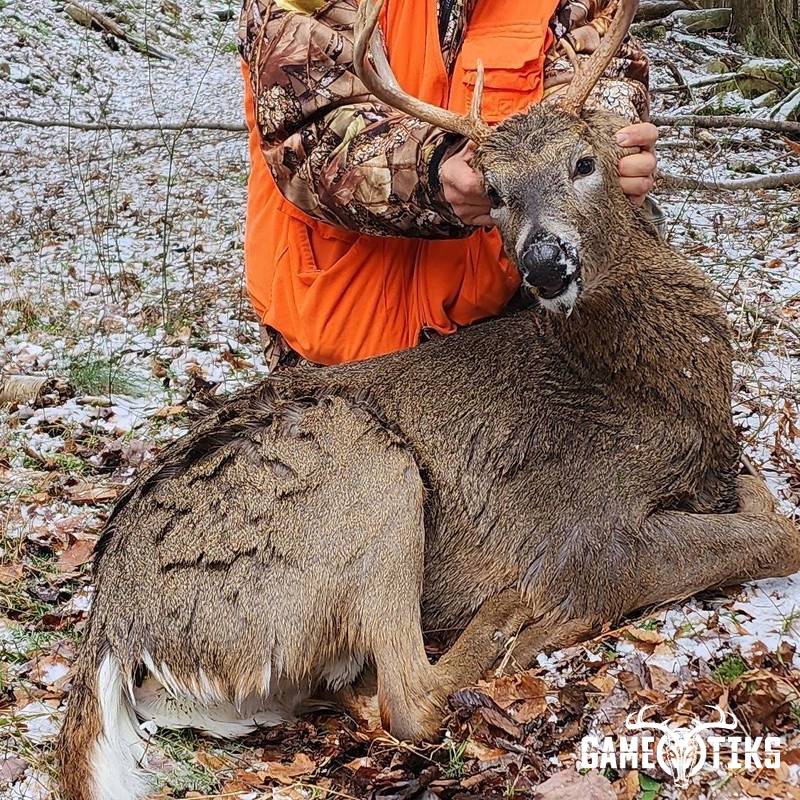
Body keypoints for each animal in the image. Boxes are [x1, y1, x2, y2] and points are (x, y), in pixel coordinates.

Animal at [57, 1, 800, 798]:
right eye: (494, 191)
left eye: (584, 162)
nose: (544, 263)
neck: (657, 391)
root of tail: (112, 616)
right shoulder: (590, 528)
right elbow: (775, 536)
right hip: (364, 468)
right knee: (410, 698)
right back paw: (517, 617)